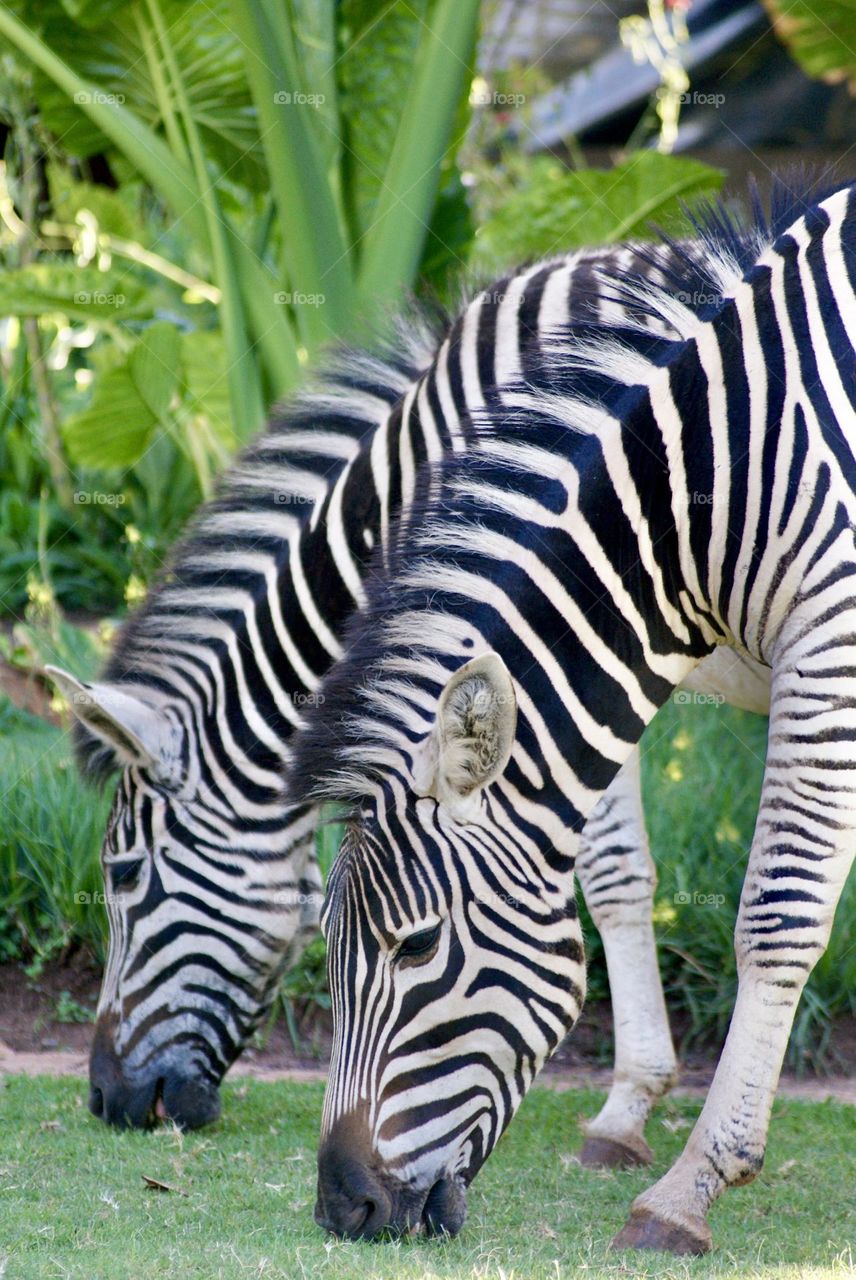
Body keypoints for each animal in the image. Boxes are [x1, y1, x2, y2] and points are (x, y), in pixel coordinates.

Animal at [50, 241, 762, 1152]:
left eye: (124, 872)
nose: (107, 1100)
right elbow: (622, 870)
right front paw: (636, 1099)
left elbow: (604, 874)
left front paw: (625, 1106)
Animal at [290, 175, 849, 1254]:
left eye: (415, 946)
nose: (345, 1206)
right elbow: (624, 874)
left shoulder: (832, 634)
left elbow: (776, 911)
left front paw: (689, 1187)